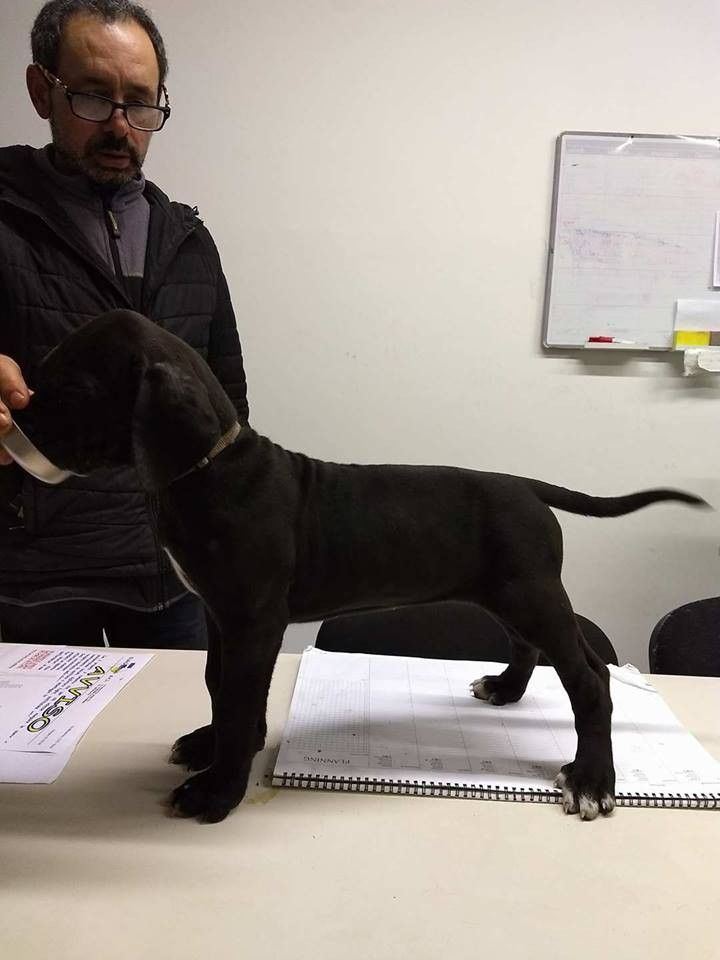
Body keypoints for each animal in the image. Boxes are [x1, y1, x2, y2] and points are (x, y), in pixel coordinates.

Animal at [11, 309, 707, 823]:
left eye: (73, 389)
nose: (11, 413)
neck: (209, 469)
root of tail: (526, 488)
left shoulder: (253, 621)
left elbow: (238, 697)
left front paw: (219, 787)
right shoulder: (220, 616)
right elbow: (216, 682)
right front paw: (215, 746)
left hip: (530, 593)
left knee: (589, 677)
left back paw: (592, 780)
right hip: (508, 594)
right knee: (544, 652)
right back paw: (506, 689)